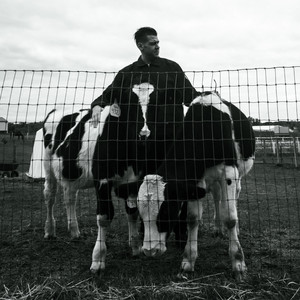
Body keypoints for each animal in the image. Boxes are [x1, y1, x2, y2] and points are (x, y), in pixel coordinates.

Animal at [43, 83, 158, 274]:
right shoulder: (103, 181)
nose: (145, 133)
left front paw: (135, 247)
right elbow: (104, 217)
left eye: (156, 104)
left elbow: (133, 212)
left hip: (70, 173)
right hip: (47, 166)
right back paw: (49, 230)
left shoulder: (133, 181)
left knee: (69, 198)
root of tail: (56, 109)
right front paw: (98, 259)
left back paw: (74, 231)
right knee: (50, 196)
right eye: (130, 104)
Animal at [137, 92, 254, 282]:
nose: (149, 250)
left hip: (237, 175)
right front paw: (188, 261)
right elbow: (192, 218)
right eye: (140, 214)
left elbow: (230, 217)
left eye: (166, 211)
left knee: (234, 197)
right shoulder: (195, 180)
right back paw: (218, 228)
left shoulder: (229, 171)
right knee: (217, 197)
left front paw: (238, 263)